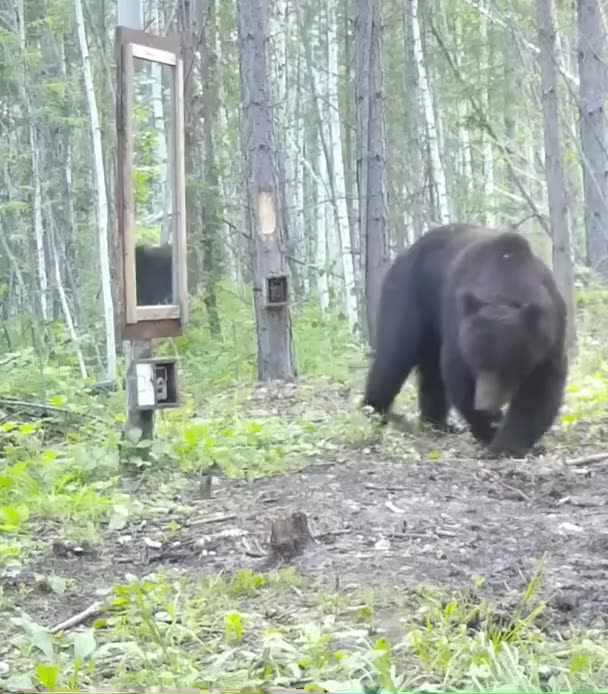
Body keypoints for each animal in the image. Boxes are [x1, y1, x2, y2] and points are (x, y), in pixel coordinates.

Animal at [362, 223, 568, 457]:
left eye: (506, 366)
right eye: (477, 363)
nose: (485, 405)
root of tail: (407, 250)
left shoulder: (550, 335)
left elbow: (541, 387)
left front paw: (509, 442)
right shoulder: (458, 322)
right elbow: (458, 375)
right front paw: (489, 429)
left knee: (431, 370)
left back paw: (437, 423)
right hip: (408, 293)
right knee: (394, 355)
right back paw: (375, 410)